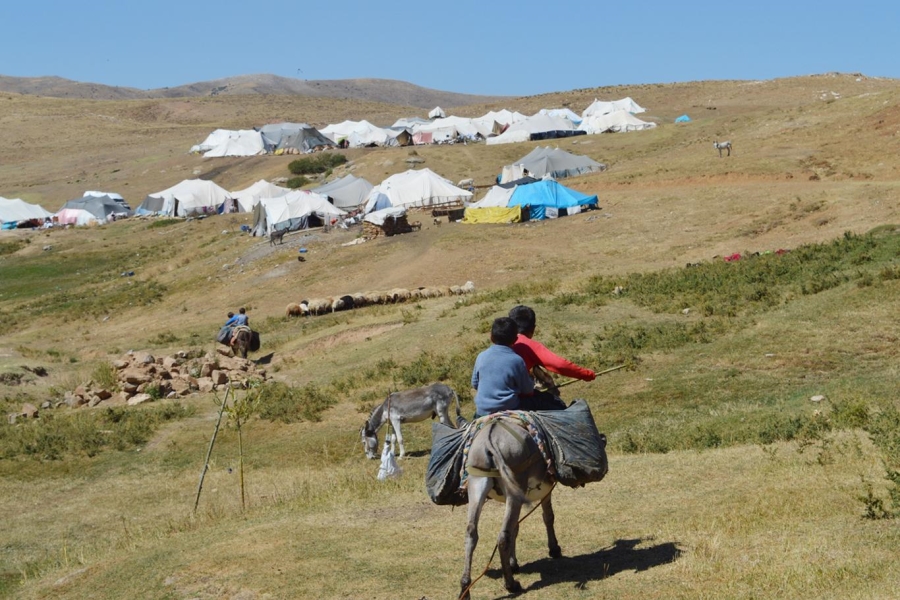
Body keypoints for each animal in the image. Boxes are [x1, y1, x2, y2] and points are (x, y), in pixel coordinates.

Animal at [460, 414, 560, 596]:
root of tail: (490, 439)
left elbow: (516, 527)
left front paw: (513, 563)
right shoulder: (545, 492)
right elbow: (548, 517)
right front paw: (554, 549)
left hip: (477, 484)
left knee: (471, 533)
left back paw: (465, 588)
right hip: (514, 491)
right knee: (502, 537)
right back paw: (511, 584)